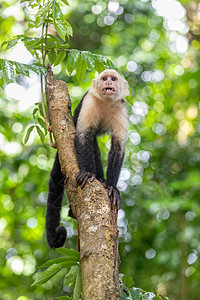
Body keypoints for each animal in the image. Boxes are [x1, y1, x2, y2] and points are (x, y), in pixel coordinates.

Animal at [45, 69, 130, 247]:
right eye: (104, 78)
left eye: (113, 79)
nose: (108, 83)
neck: (106, 102)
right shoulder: (90, 101)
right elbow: (83, 136)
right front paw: (88, 174)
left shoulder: (121, 108)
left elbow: (117, 148)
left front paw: (112, 187)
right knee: (91, 141)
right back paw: (96, 177)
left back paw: (103, 181)